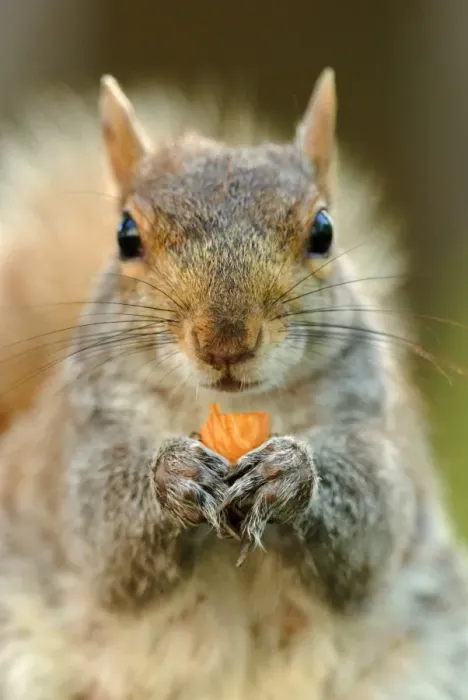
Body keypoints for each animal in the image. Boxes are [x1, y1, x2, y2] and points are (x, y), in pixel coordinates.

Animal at [0, 68, 467, 700]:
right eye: (126, 236)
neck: (228, 406)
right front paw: (173, 474)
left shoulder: (370, 422)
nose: (225, 340)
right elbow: (106, 541)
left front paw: (288, 473)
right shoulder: (85, 437)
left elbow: (371, 528)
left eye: (324, 231)